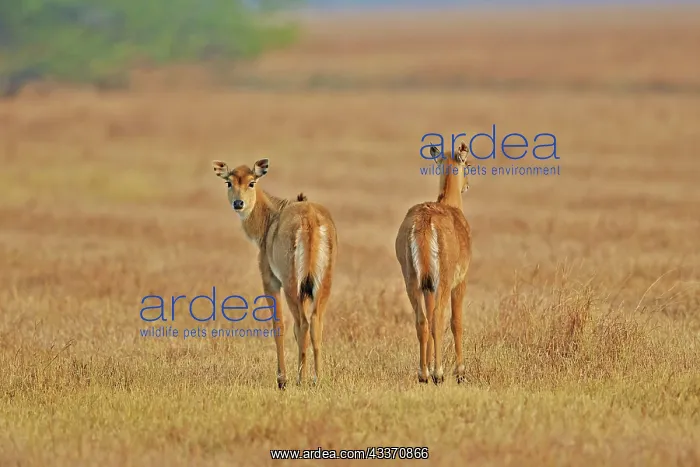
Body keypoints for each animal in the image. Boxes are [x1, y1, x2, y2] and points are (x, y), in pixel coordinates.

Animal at [212, 158, 338, 389]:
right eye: (229, 182)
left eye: (251, 182)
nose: (238, 203)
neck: (270, 219)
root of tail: (310, 220)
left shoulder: (270, 281)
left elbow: (278, 325)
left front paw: (282, 380)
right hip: (324, 281)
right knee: (315, 322)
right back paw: (317, 379)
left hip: (290, 283)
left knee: (302, 323)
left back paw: (299, 379)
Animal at [395, 142, 472, 385]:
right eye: (468, 163)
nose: (467, 186)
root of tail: (424, 223)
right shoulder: (461, 281)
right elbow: (456, 322)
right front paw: (460, 372)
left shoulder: (426, 284)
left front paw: (427, 368)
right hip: (443, 281)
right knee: (438, 318)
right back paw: (439, 373)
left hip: (412, 279)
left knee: (422, 320)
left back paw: (424, 374)